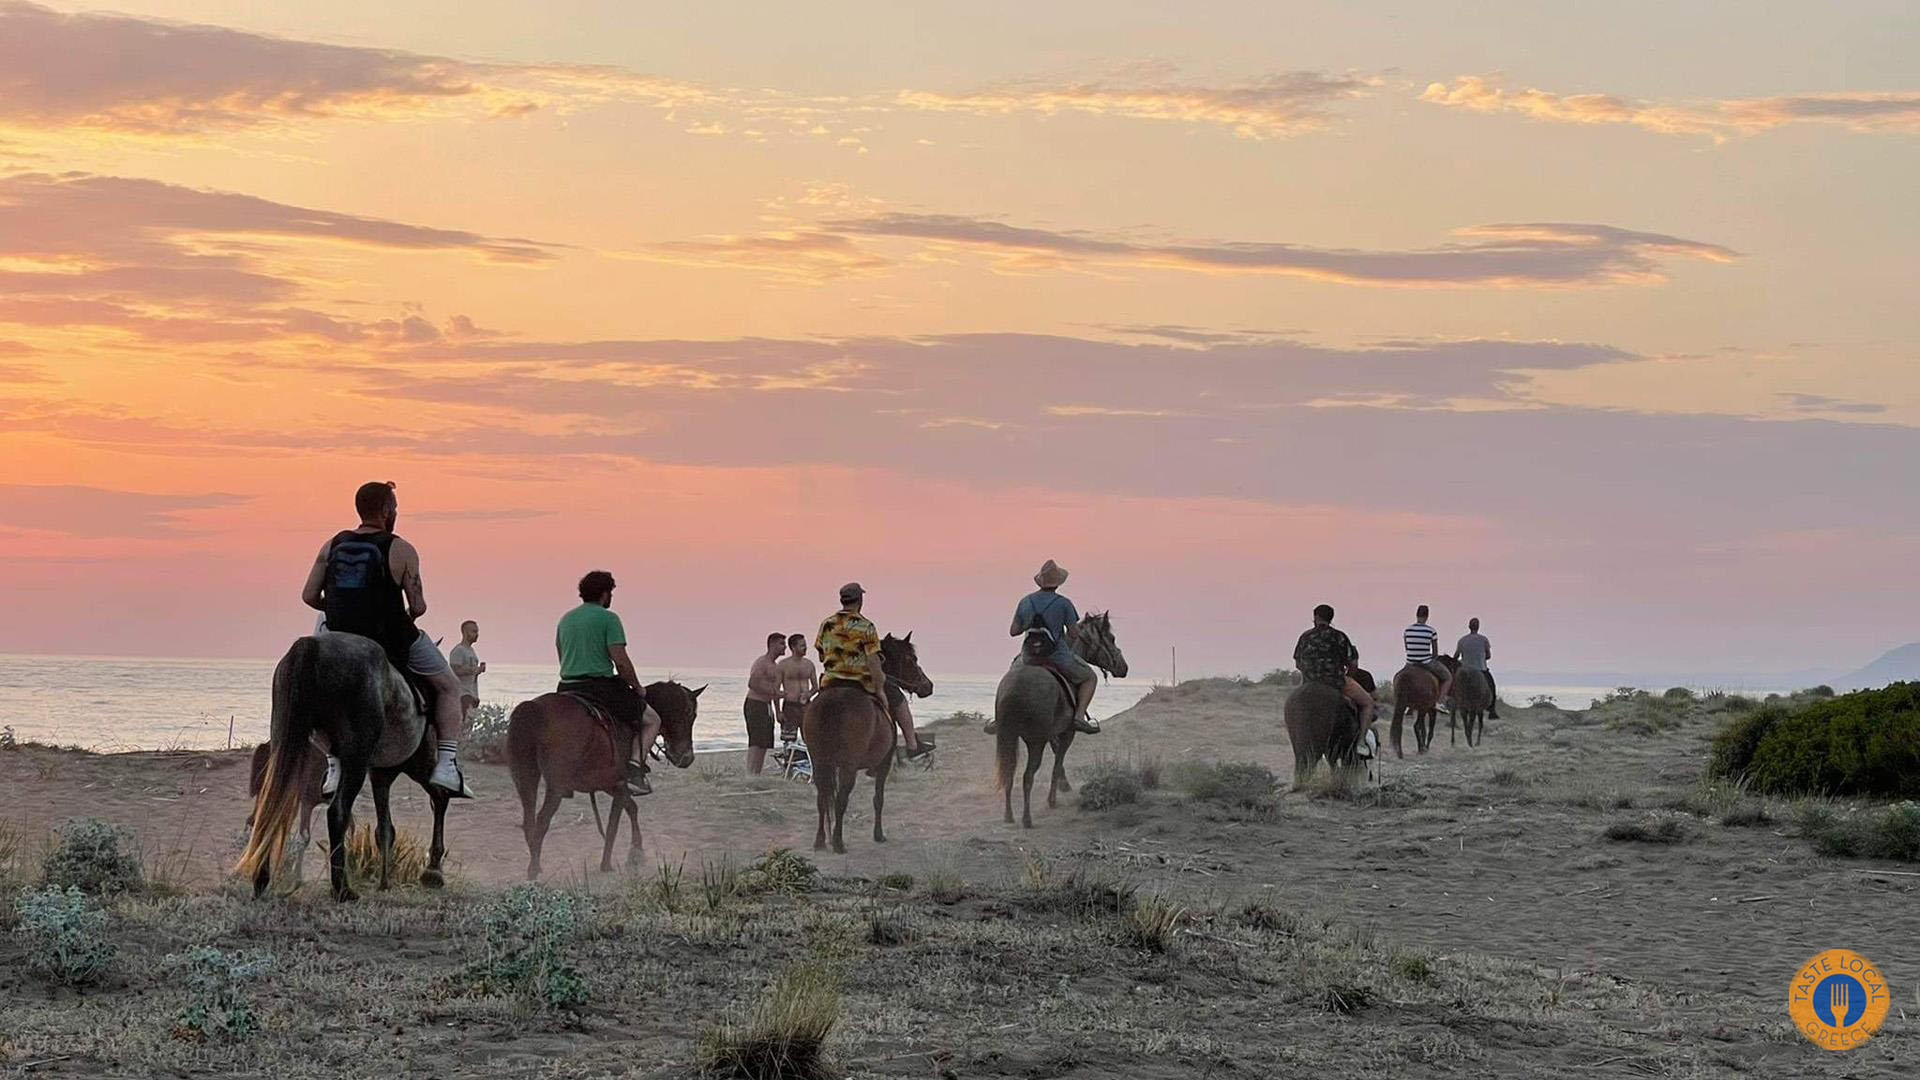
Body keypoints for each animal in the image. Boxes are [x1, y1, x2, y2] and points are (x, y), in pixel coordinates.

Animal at [506, 680, 702, 876]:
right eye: (691, 714)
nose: (687, 758)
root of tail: (534, 708)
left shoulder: (609, 784)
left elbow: (631, 808)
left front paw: (636, 853)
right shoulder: (620, 784)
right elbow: (613, 824)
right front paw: (607, 864)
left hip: (525, 779)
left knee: (529, 821)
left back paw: (536, 863)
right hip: (556, 787)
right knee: (542, 820)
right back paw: (533, 870)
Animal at [798, 630, 933, 849]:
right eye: (911, 659)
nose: (928, 686)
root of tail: (832, 703)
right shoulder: (885, 762)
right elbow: (878, 799)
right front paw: (879, 834)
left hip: (819, 762)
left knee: (822, 799)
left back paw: (820, 841)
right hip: (848, 765)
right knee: (841, 799)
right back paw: (838, 842)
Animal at [990, 611, 1121, 826]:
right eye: (1111, 638)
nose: (1123, 667)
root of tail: (1015, 688)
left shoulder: (1053, 732)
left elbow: (1056, 756)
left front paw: (1063, 785)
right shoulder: (1068, 732)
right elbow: (1058, 761)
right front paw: (1053, 798)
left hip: (1009, 736)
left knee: (1009, 772)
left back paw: (1008, 815)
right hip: (1035, 741)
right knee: (1027, 776)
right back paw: (1027, 819)